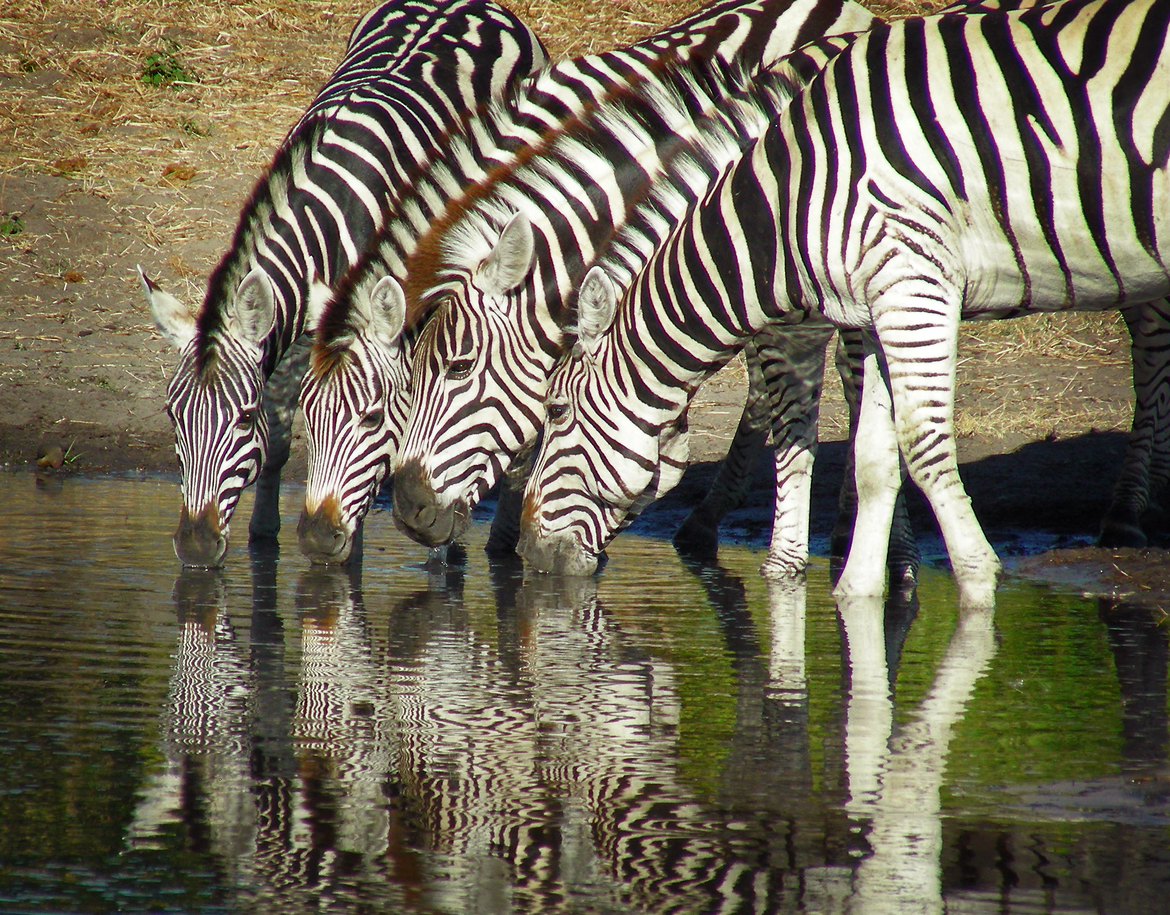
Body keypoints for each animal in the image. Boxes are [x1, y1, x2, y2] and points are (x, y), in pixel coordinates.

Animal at [137, 0, 546, 567]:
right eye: (173, 418)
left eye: (242, 420)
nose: (195, 548)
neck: (327, 216)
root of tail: (474, 4)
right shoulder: (297, 330)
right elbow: (281, 436)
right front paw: (264, 536)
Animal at [518, 0, 1170, 609]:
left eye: (555, 411)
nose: (525, 553)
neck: (785, 205)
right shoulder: (876, 308)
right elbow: (874, 455)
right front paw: (859, 593)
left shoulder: (909, 281)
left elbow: (912, 442)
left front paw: (974, 583)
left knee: (1150, 344)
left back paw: (1129, 513)